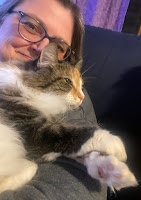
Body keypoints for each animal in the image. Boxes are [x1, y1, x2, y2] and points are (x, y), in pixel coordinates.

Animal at [0, 42, 138, 194]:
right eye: (67, 81)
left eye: (81, 86)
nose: (82, 97)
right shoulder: (32, 130)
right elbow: (77, 135)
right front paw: (114, 143)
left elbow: (80, 153)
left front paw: (109, 171)